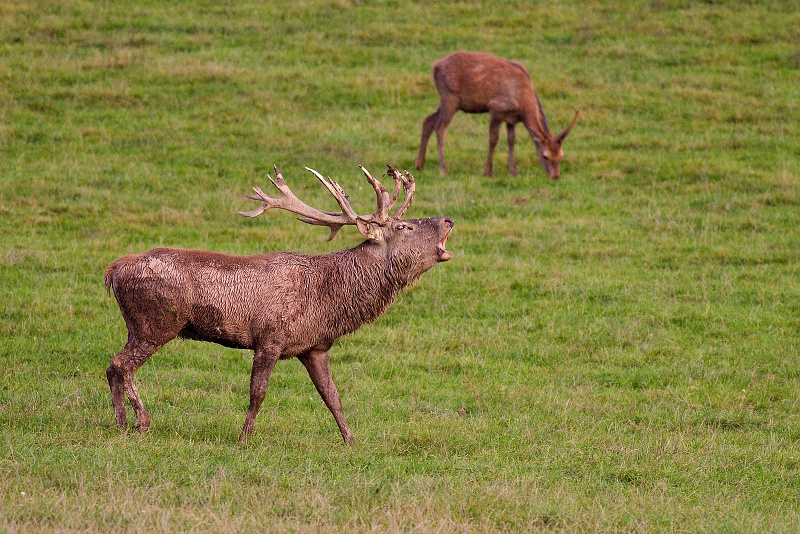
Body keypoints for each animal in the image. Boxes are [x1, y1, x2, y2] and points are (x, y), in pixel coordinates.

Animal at [104, 165, 454, 446]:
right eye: (403, 227)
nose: (448, 219)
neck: (325, 302)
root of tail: (113, 270)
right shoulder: (269, 337)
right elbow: (257, 393)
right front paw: (243, 439)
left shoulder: (314, 347)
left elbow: (333, 397)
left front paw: (351, 441)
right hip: (157, 322)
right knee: (121, 364)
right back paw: (141, 422)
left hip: (136, 325)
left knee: (112, 366)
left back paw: (120, 423)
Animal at [416, 51, 580, 180]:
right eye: (546, 156)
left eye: (561, 156)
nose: (556, 176)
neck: (523, 102)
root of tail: (435, 66)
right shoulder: (496, 109)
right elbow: (493, 139)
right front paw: (488, 172)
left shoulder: (512, 119)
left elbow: (511, 140)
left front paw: (513, 171)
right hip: (450, 97)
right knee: (440, 128)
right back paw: (444, 169)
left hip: (451, 101)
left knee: (428, 120)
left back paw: (419, 165)